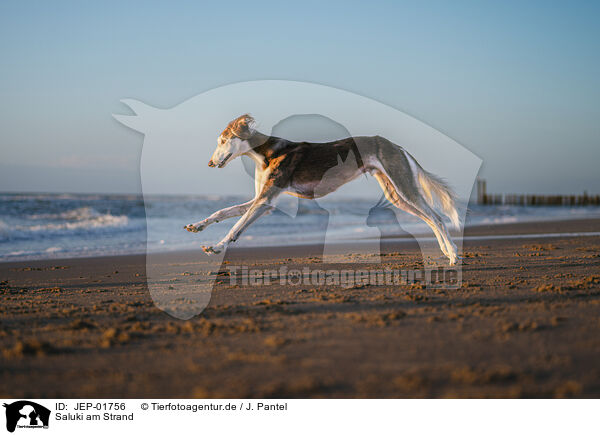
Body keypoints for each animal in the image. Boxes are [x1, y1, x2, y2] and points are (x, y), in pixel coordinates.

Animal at [185, 114, 462, 264]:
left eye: (223, 141)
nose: (210, 163)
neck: (266, 152)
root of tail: (396, 145)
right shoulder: (261, 200)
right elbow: (223, 212)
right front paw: (198, 225)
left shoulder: (265, 201)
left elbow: (235, 226)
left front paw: (217, 247)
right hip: (397, 194)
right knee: (430, 219)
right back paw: (446, 252)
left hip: (403, 186)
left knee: (438, 218)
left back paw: (453, 255)